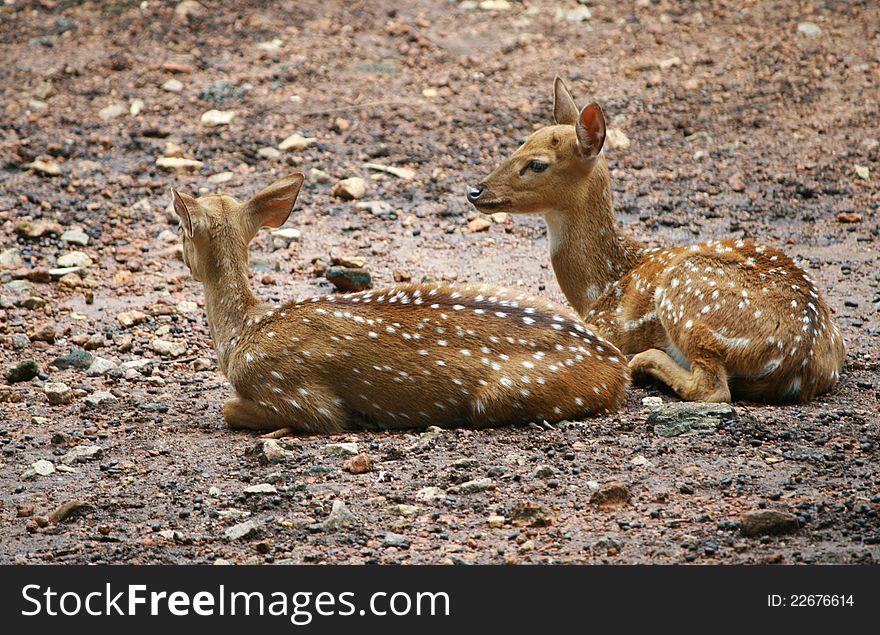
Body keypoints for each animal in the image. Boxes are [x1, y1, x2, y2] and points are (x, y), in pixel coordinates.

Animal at [170, 173, 624, 432]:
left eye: (179, 229)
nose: (181, 256)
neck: (244, 333)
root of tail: (617, 367)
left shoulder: (294, 392)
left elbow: (232, 408)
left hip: (505, 394)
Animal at [468, 77, 844, 400]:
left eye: (537, 164)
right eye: (519, 144)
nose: (475, 191)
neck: (600, 286)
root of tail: (802, 360)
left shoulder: (605, 326)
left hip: (688, 296)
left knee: (713, 387)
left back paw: (644, 361)